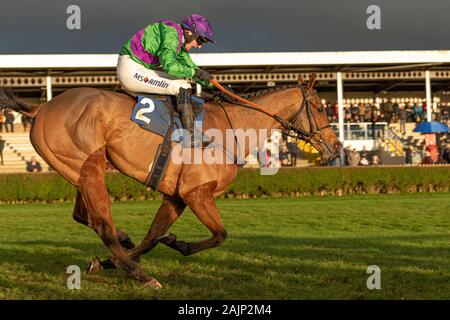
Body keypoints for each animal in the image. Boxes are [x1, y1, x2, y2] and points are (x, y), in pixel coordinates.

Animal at [0, 75, 342, 288]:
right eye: (321, 107)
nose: (336, 146)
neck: (231, 128)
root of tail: (43, 105)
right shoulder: (196, 193)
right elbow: (220, 235)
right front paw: (176, 244)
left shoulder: (175, 196)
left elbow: (152, 237)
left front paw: (110, 261)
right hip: (89, 167)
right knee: (101, 224)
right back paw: (142, 276)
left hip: (76, 171)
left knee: (83, 216)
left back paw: (124, 246)